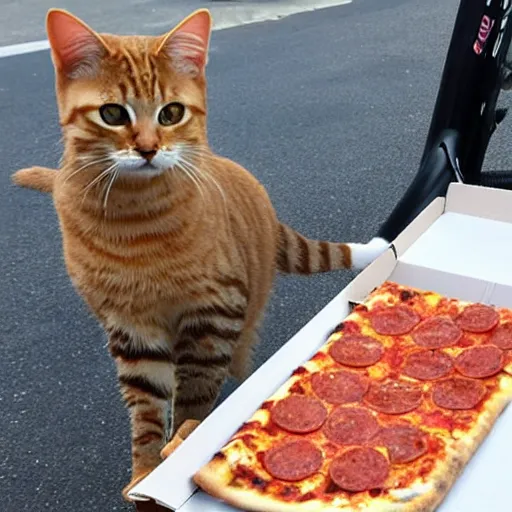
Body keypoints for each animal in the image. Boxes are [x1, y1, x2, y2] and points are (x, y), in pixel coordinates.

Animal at [12, 9, 388, 500]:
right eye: (112, 114)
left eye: (171, 112)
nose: (148, 149)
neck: (135, 220)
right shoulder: (130, 328)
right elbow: (146, 410)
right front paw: (145, 472)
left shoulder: (215, 312)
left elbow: (197, 391)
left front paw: (186, 438)